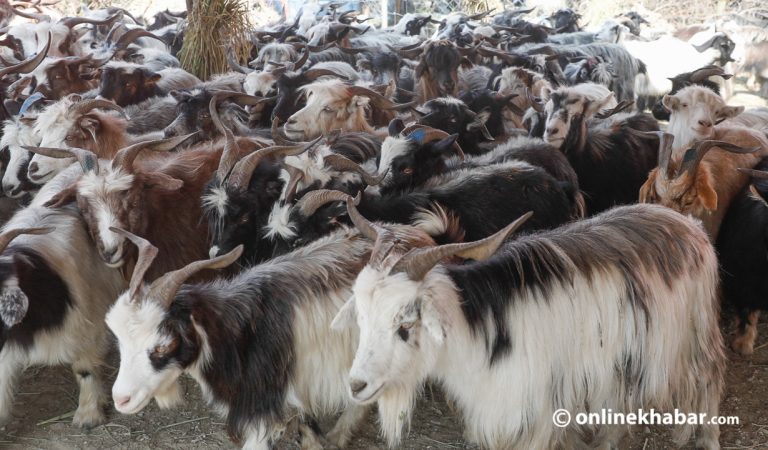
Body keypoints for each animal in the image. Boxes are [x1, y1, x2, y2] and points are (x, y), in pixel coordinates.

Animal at [332, 200, 724, 450]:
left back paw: (708, 439)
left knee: (708, 383)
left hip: (696, 334)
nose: (356, 385)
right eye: (362, 317)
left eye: (405, 324)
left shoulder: (536, 410)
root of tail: (689, 226)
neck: (479, 332)